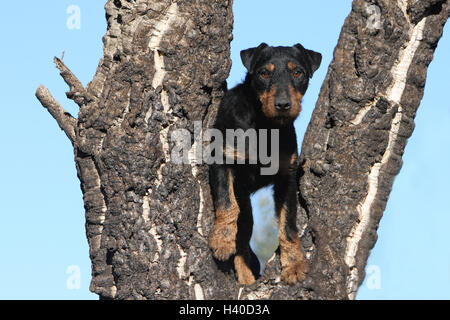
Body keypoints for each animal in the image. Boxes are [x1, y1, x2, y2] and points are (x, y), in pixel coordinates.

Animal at [209, 42, 322, 284]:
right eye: (263, 73)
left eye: (297, 72)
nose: (283, 105)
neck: (265, 126)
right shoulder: (221, 158)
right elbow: (226, 203)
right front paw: (221, 241)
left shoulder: (286, 178)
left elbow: (288, 225)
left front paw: (294, 265)